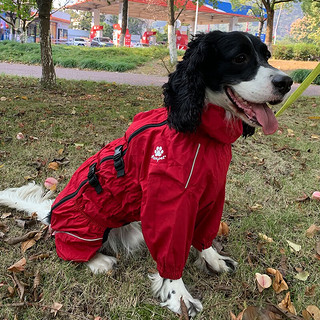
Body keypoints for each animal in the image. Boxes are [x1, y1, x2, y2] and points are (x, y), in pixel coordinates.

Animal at [0, 31, 292, 316]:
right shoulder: (169, 203)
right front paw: (180, 297)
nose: (287, 82)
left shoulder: (212, 194)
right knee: (68, 248)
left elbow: (204, 236)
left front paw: (214, 260)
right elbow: (171, 254)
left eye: (266, 56)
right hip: (85, 226)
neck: (202, 134)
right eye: (240, 58)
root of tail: (50, 214)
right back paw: (98, 261)